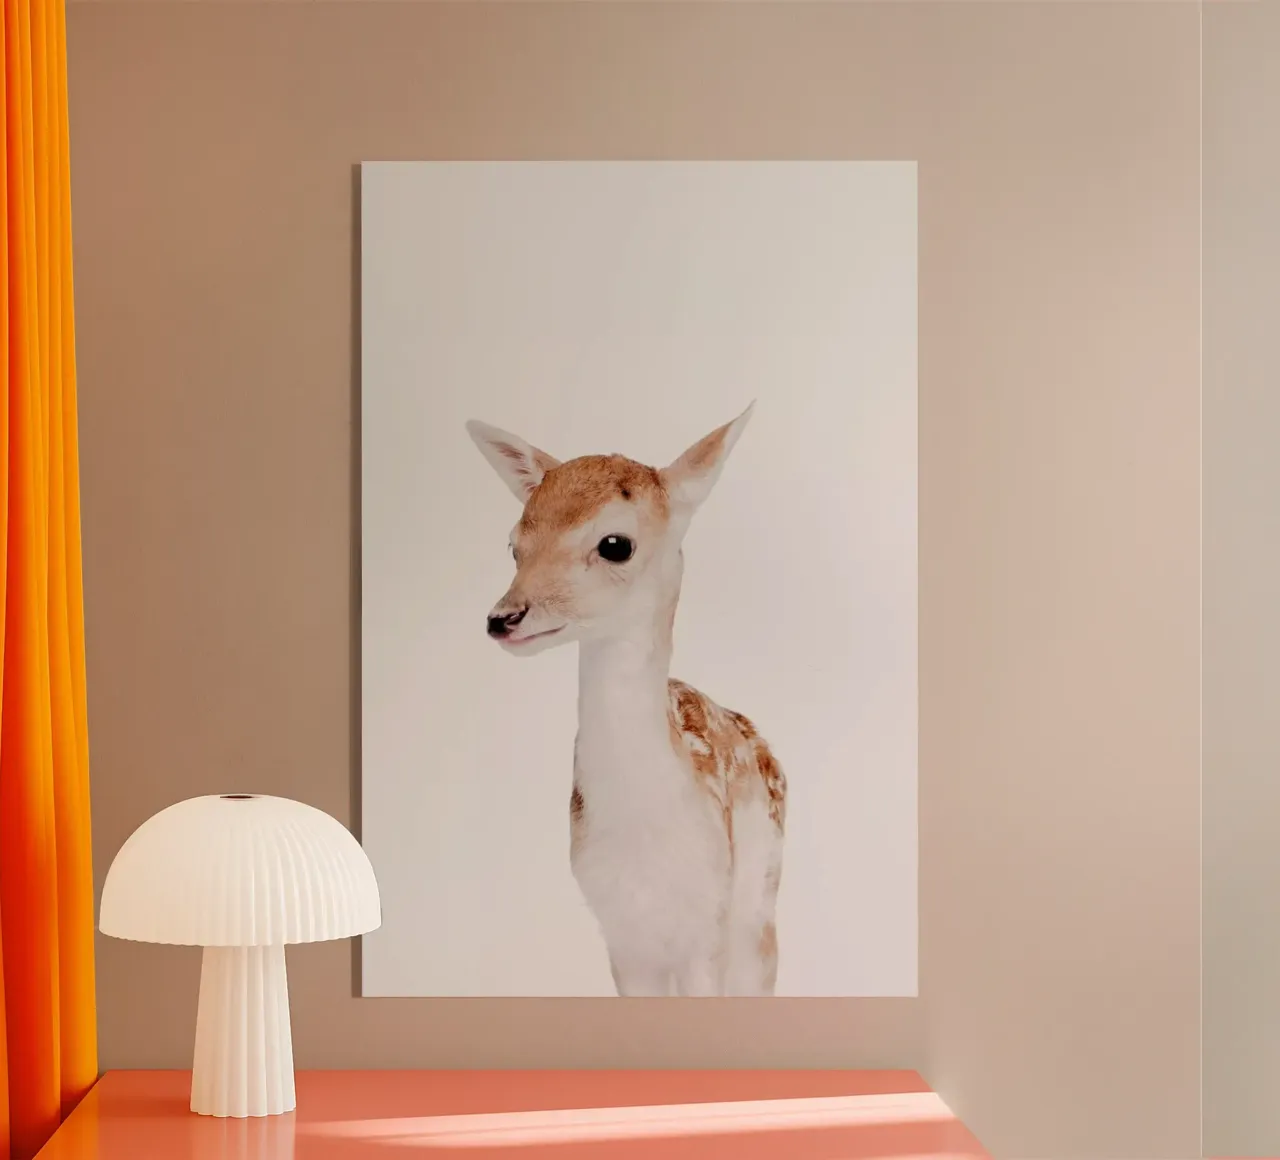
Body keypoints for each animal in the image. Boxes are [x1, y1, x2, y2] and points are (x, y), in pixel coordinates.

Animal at [465, 405, 786, 997]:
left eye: (616, 544)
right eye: (514, 544)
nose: (503, 618)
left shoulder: (706, 924)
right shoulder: (620, 933)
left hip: (759, 900)